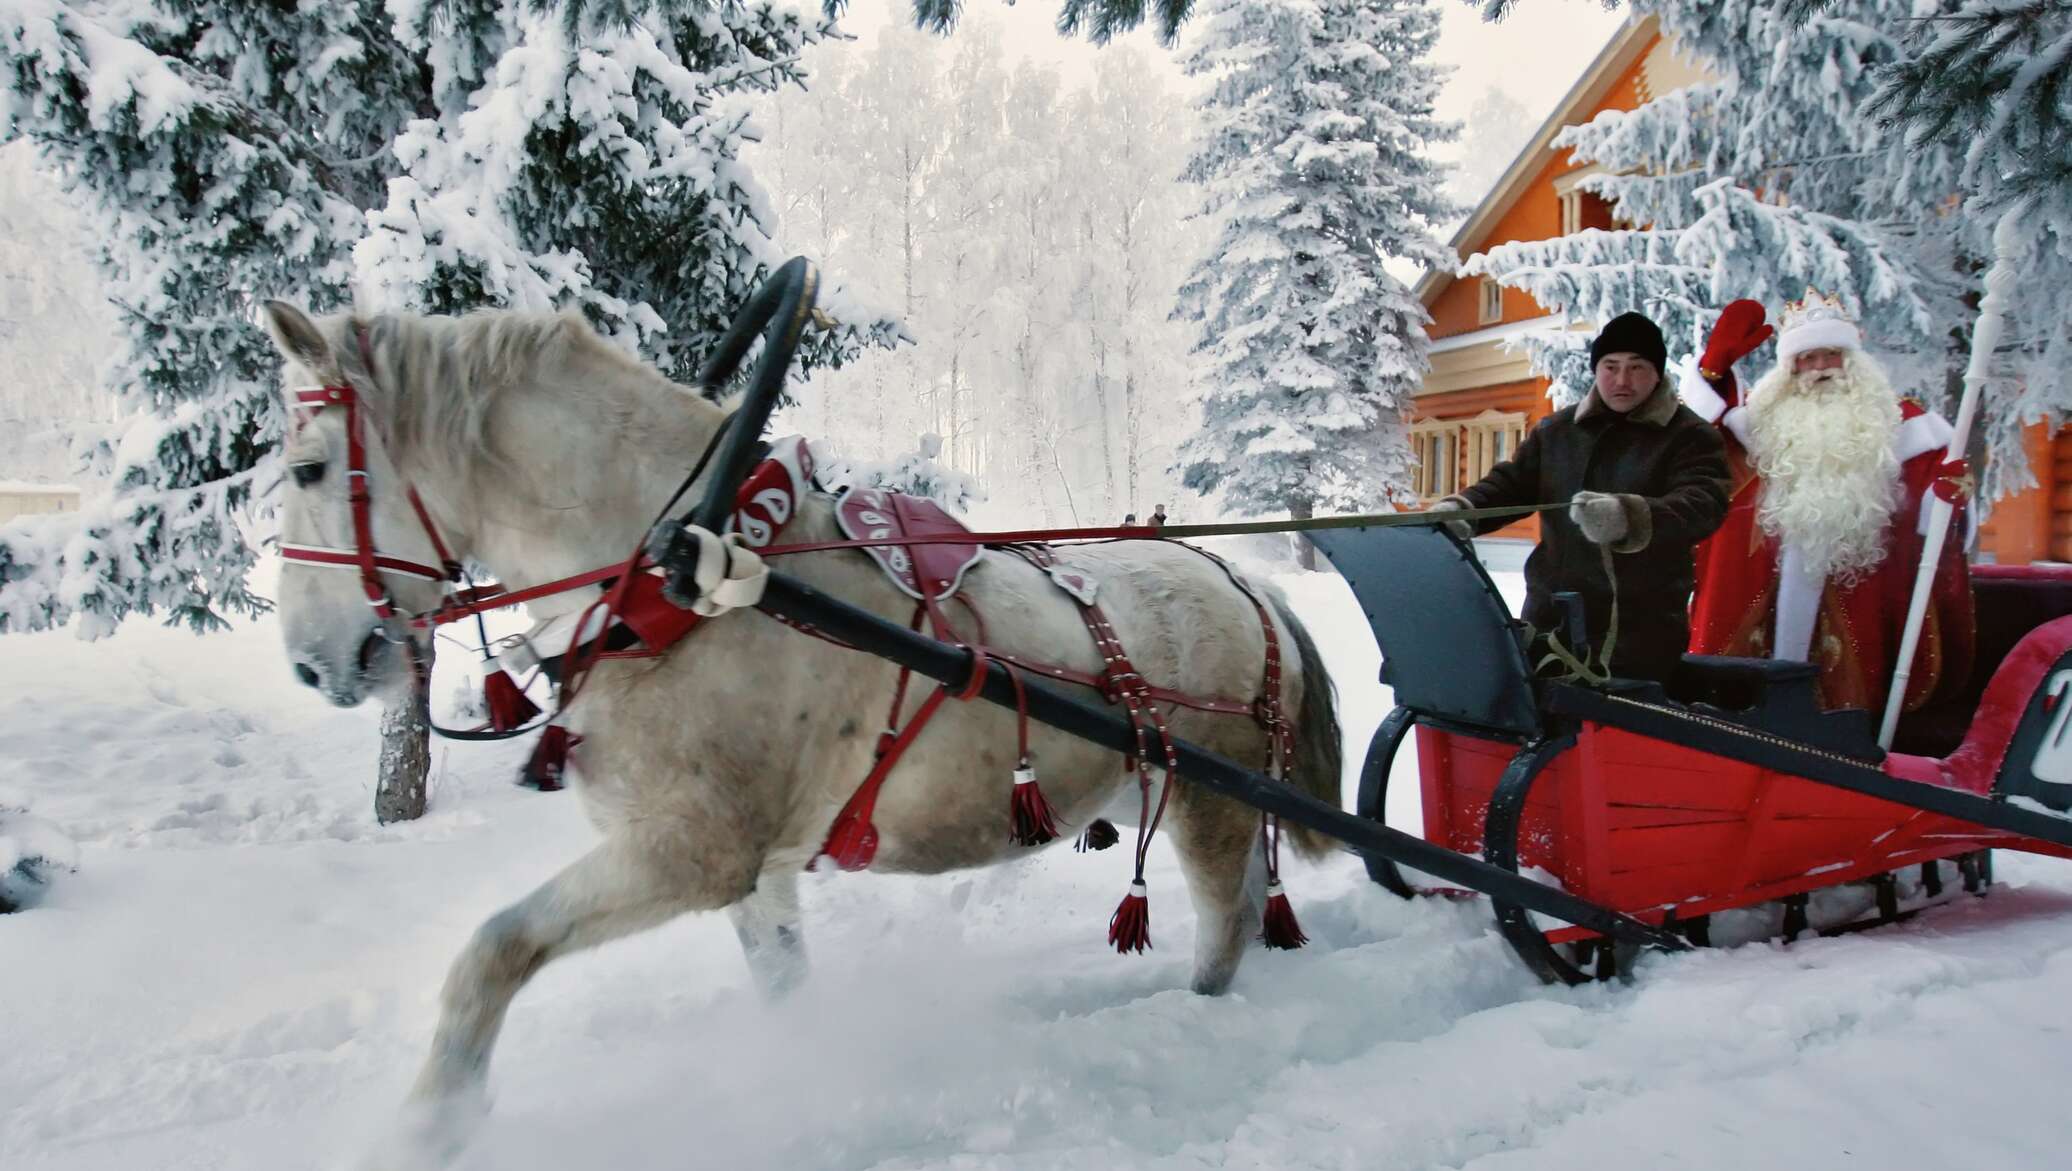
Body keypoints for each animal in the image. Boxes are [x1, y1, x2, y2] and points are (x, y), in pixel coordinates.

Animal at [259, 296, 1342, 1152]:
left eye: (309, 469)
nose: (310, 663)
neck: (684, 584)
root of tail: (1247, 583)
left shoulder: (692, 852)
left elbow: (492, 949)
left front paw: (433, 1121)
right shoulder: (758, 872)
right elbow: (781, 985)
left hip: (1209, 802)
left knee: (1222, 925)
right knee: (1248, 902)